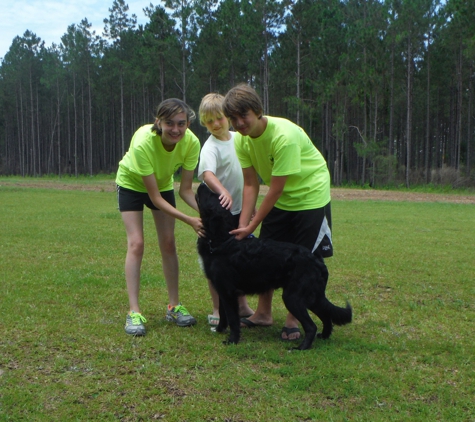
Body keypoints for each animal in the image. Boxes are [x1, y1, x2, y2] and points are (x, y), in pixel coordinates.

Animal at [194, 183, 354, 352]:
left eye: (212, 196)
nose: (202, 183)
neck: (223, 240)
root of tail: (317, 261)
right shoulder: (222, 290)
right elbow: (223, 315)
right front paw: (219, 330)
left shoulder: (228, 292)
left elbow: (232, 319)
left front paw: (232, 340)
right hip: (312, 297)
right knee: (326, 316)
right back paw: (323, 336)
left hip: (293, 297)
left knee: (311, 326)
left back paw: (301, 348)